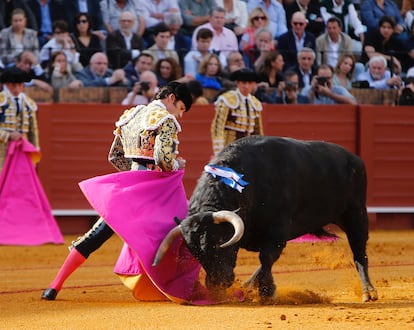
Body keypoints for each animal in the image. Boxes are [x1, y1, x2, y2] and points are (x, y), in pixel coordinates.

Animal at [154, 135, 378, 302]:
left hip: (356, 214)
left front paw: (266, 293)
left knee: (360, 253)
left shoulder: (277, 230)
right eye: (194, 252)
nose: (218, 285)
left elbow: (267, 257)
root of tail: (355, 159)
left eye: (219, 242)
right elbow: (265, 260)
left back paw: (368, 292)